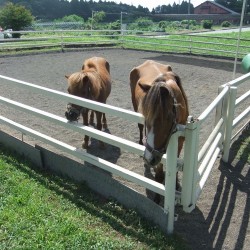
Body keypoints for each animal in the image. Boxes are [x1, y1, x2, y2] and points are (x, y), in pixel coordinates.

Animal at [130, 60, 188, 203]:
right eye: (147, 116)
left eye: (167, 118)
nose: (148, 158)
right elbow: (159, 175)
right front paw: (157, 197)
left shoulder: (179, 142)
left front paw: (176, 185)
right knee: (140, 128)